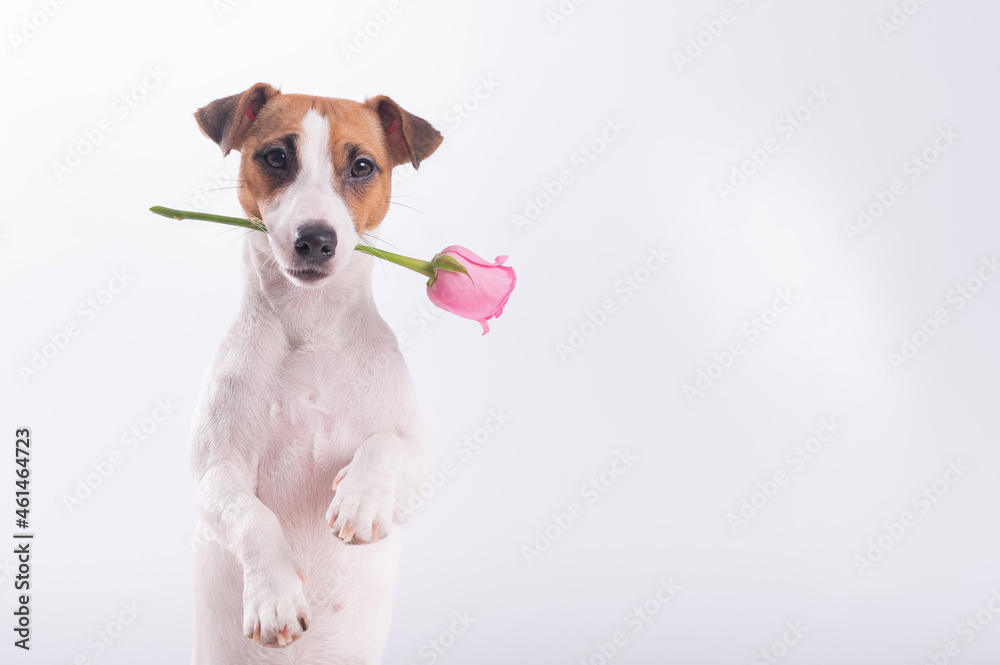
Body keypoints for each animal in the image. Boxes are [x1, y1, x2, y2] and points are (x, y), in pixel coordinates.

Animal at [188, 84, 442, 664]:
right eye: (277, 156)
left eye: (363, 166)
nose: (316, 239)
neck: (311, 322)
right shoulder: (214, 476)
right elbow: (252, 517)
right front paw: (274, 599)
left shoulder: (418, 471)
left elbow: (385, 446)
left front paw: (360, 500)